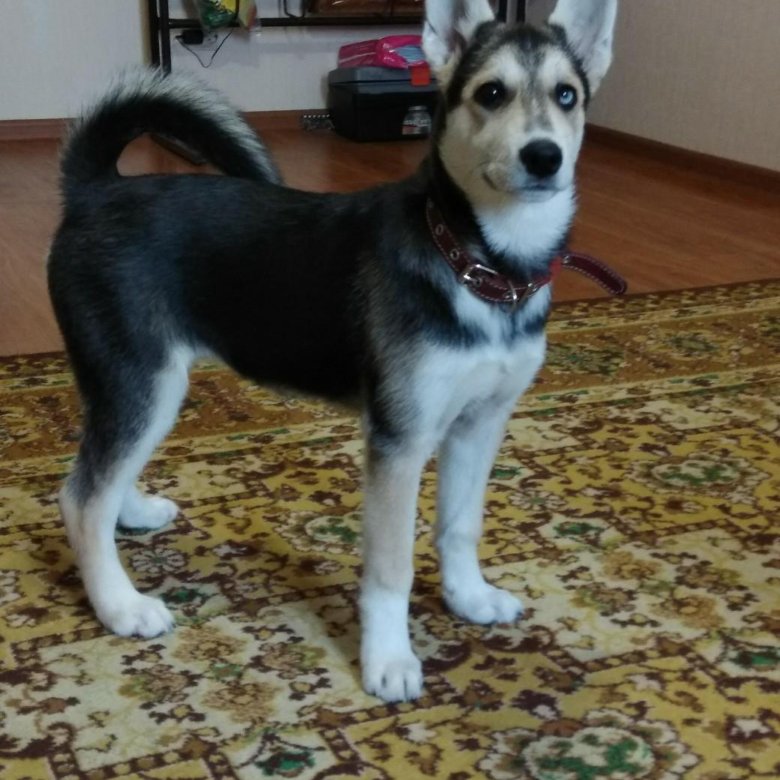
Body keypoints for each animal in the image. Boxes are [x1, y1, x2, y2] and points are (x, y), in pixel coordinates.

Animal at [48, 0, 618, 702]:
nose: (544, 156)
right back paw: (120, 605)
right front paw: (389, 660)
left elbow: (460, 526)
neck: (480, 264)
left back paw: (132, 512)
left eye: (567, 95)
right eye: (491, 93)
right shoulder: (400, 441)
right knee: (81, 498)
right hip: (142, 375)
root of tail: (94, 191)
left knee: (104, 468)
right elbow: (391, 568)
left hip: (140, 380)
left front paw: (469, 598)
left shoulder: (479, 423)